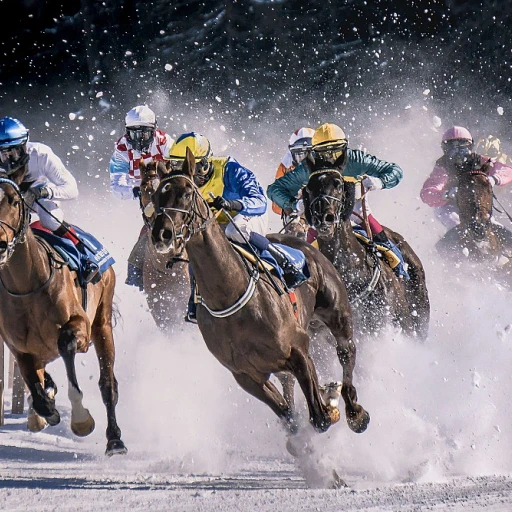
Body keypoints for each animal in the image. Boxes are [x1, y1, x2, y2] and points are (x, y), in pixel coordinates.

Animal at [0, 168, 126, 456]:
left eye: (13, 199)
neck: (27, 286)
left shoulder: (80, 327)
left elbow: (66, 344)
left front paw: (81, 420)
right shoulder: (18, 347)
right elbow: (37, 390)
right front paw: (44, 408)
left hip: (102, 322)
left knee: (108, 384)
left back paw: (115, 440)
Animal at [146, 147, 370, 444]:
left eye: (186, 193)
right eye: (156, 196)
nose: (161, 234)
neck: (231, 296)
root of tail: (306, 242)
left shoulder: (298, 349)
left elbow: (320, 417)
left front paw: (330, 405)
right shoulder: (246, 376)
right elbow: (290, 417)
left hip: (337, 313)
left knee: (347, 351)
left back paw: (354, 411)